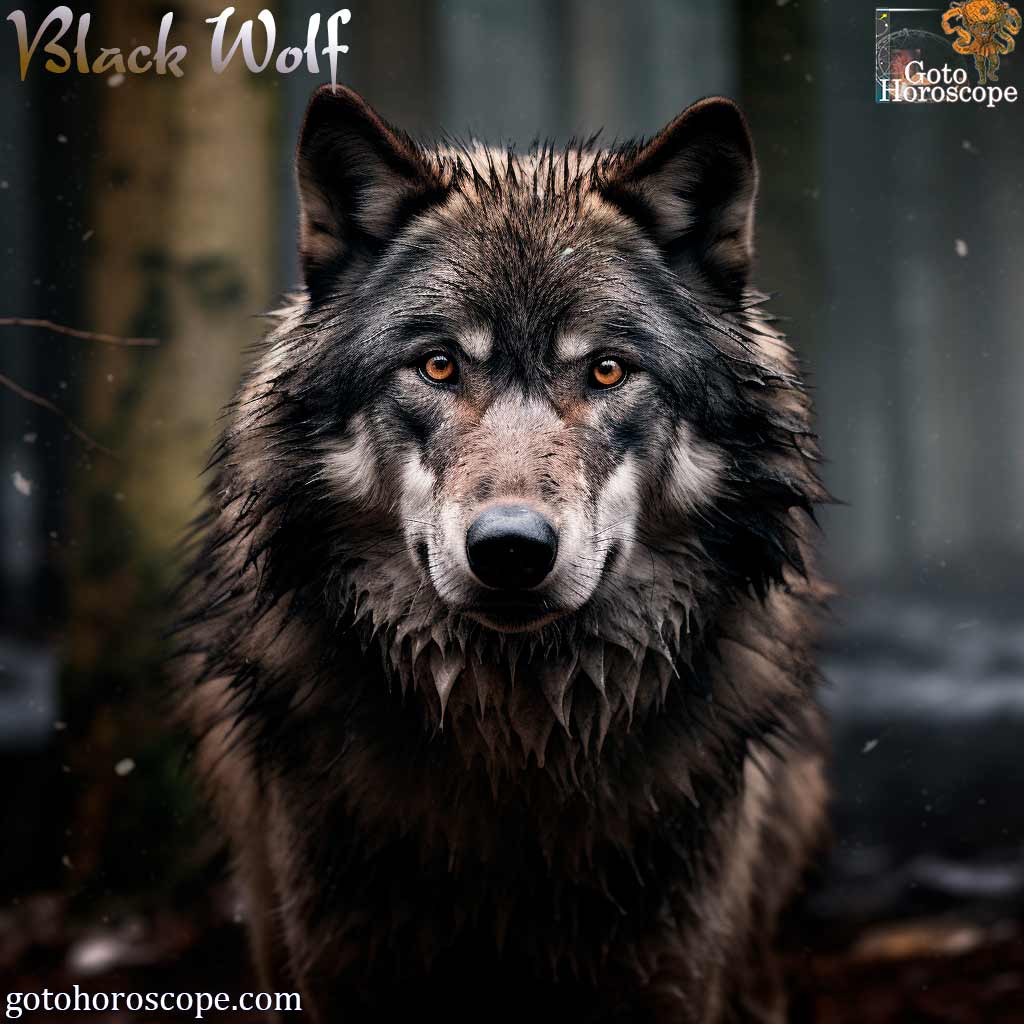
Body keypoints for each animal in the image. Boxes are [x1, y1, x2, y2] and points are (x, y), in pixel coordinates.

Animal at [177, 85, 829, 1023]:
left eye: (606, 371)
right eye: (439, 366)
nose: (512, 550)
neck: (514, 750)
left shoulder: (671, 972)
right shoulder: (335, 962)